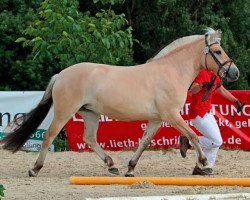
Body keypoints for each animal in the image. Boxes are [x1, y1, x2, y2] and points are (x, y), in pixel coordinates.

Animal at [0, 28, 239, 177]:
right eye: (218, 51)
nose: (234, 72)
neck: (171, 71)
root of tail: (61, 75)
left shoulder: (157, 119)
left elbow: (144, 143)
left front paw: (130, 168)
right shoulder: (172, 115)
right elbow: (192, 136)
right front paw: (205, 164)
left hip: (90, 113)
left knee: (89, 138)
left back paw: (111, 165)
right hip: (64, 112)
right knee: (49, 136)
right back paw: (35, 169)